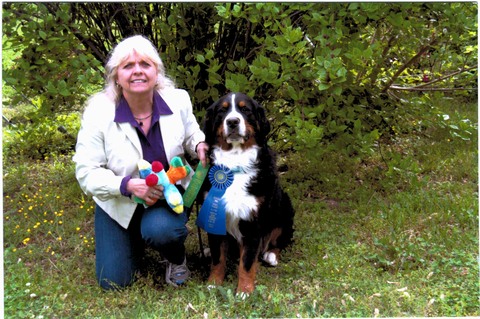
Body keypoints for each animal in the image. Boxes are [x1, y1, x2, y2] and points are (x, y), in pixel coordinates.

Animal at [201, 92, 294, 296]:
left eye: (245, 110)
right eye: (222, 111)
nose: (233, 121)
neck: (235, 164)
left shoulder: (253, 223)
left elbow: (247, 263)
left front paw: (244, 291)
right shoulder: (215, 217)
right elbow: (218, 258)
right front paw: (213, 284)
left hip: (284, 208)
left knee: (280, 240)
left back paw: (271, 255)